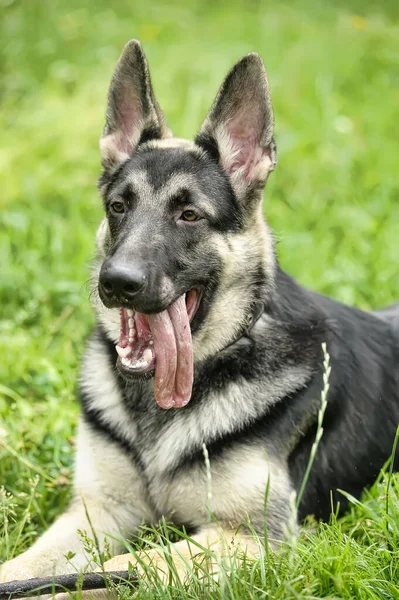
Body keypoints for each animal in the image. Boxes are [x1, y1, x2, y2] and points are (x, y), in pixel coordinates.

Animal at [0, 41, 399, 592]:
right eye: (118, 207)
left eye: (189, 215)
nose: (116, 282)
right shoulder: (96, 511)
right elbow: (26, 570)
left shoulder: (251, 539)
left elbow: (115, 573)